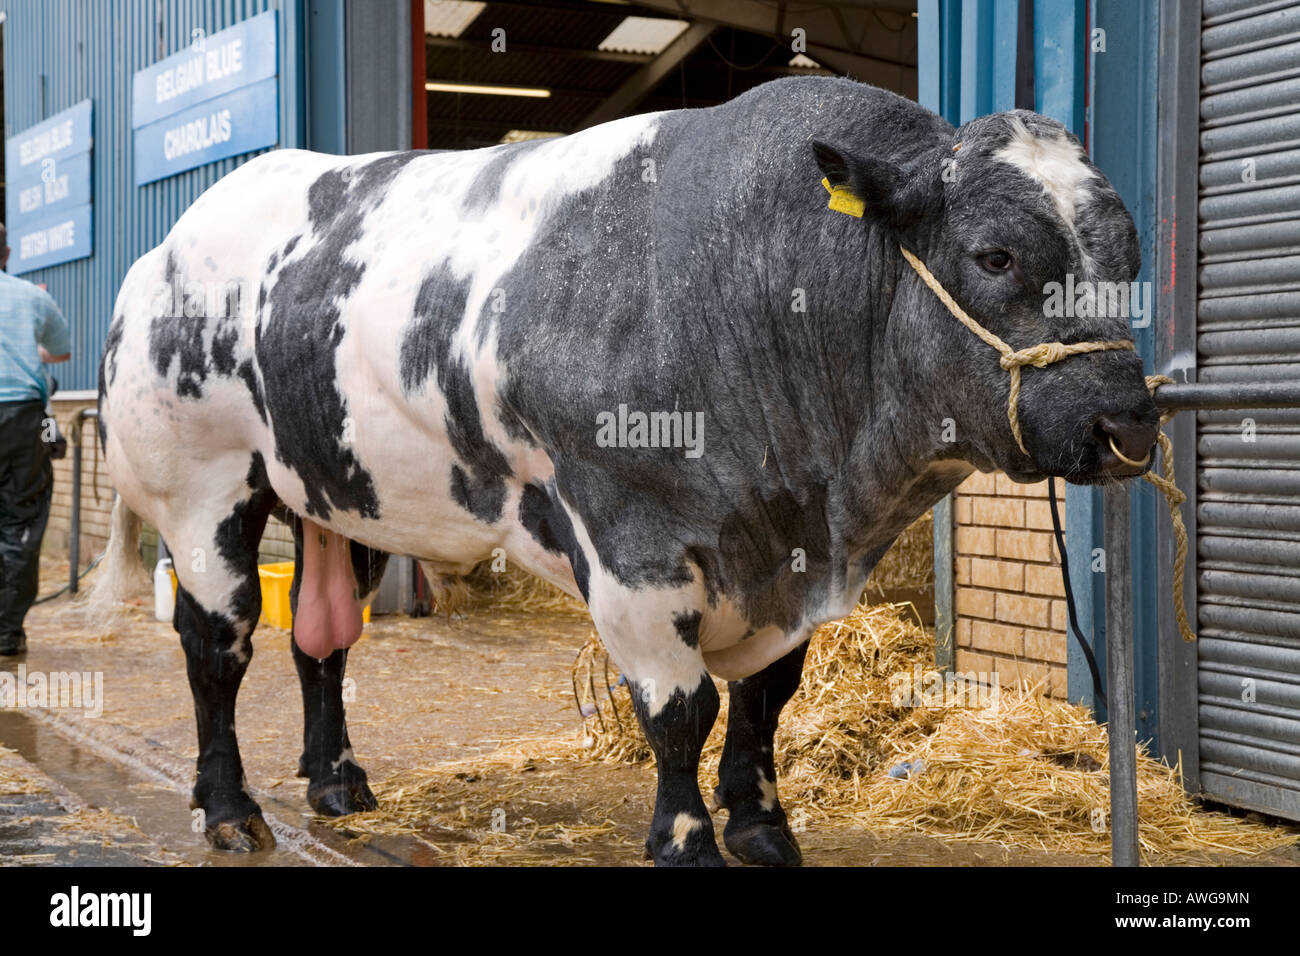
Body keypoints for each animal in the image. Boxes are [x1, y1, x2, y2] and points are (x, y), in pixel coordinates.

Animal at [95, 75, 1158, 866]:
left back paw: (335, 779)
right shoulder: (632, 540)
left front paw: (762, 827)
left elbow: (765, 699)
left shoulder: (783, 563)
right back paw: (229, 808)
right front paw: (686, 838)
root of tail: (167, 249)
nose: (1125, 424)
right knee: (218, 643)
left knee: (323, 640)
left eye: (1132, 254)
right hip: (203, 491)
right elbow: (681, 707)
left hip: (335, 495)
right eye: (995, 254)